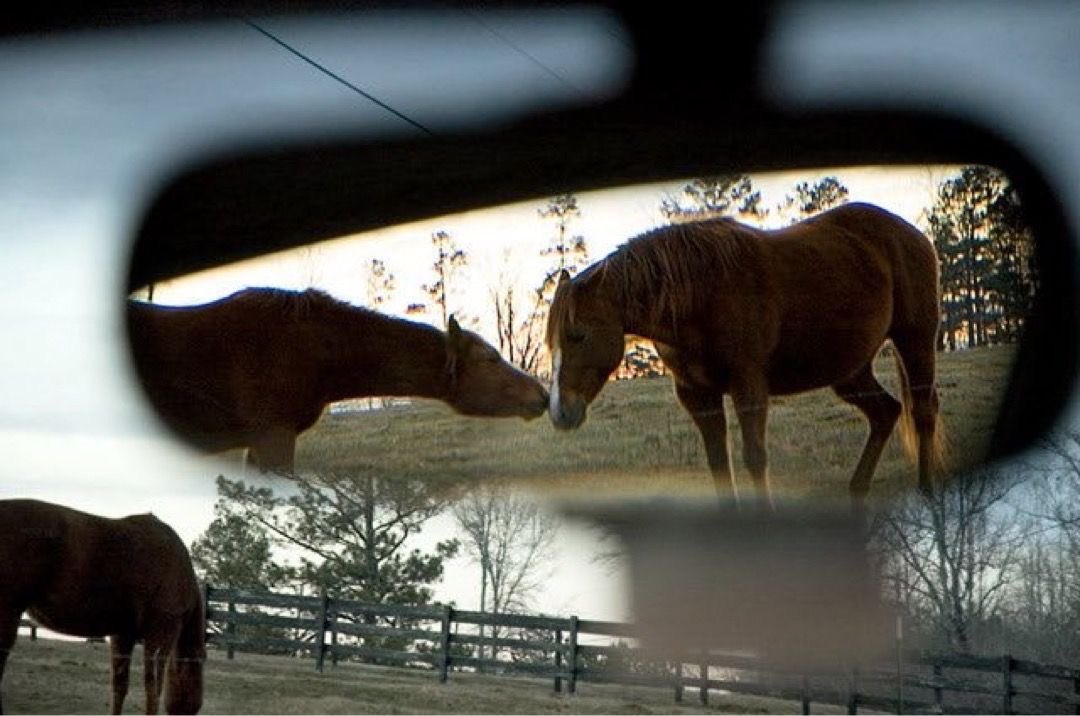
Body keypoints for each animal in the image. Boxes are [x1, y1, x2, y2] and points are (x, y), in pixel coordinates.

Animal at [546, 202, 945, 506]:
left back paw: (927, 491)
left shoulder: (748, 384)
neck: (699, 294)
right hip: (849, 371)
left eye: (577, 335)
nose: (560, 413)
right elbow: (718, 463)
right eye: (551, 343)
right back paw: (858, 490)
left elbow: (754, 457)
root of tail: (912, 233)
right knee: (886, 412)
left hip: (916, 340)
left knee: (923, 410)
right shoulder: (697, 394)